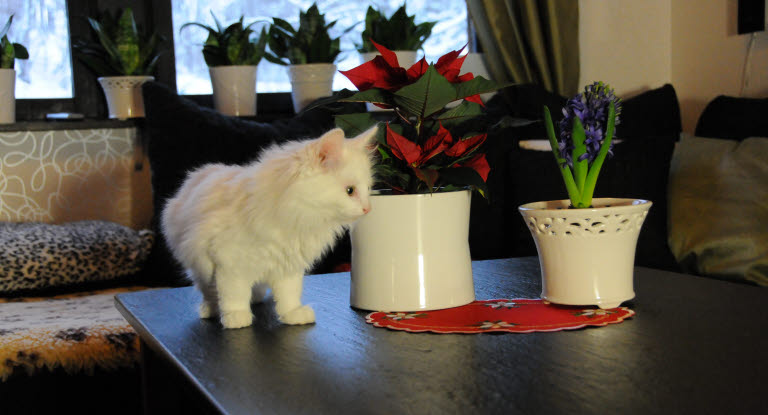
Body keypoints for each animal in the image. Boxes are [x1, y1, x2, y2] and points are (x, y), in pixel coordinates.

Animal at [162, 127, 378, 328]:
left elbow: (289, 295)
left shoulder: (288, 265)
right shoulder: (230, 264)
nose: (368, 208)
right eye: (350, 191)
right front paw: (236, 317)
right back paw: (211, 310)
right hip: (199, 265)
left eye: (368, 189)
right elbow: (233, 294)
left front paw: (293, 315)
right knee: (208, 291)